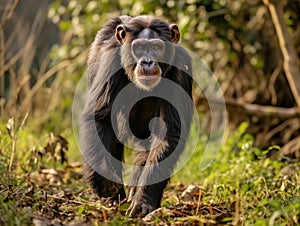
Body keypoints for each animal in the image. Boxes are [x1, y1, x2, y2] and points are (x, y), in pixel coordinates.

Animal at [79, 14, 192, 217]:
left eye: (156, 47)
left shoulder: (180, 68)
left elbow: (167, 133)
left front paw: (143, 201)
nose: (147, 61)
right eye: (139, 47)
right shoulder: (110, 63)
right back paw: (114, 198)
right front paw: (103, 183)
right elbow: (100, 119)